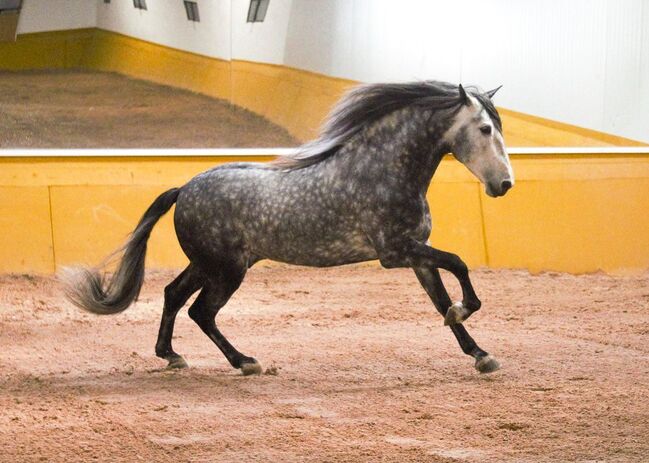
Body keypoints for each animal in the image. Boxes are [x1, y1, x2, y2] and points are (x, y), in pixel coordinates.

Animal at [64, 80, 512, 376]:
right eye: (485, 129)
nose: (504, 184)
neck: (382, 169)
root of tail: (184, 189)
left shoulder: (417, 252)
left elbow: (441, 299)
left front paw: (480, 353)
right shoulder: (396, 252)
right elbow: (460, 264)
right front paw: (464, 312)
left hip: (211, 264)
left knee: (174, 295)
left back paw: (172, 356)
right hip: (226, 271)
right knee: (200, 311)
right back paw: (245, 361)